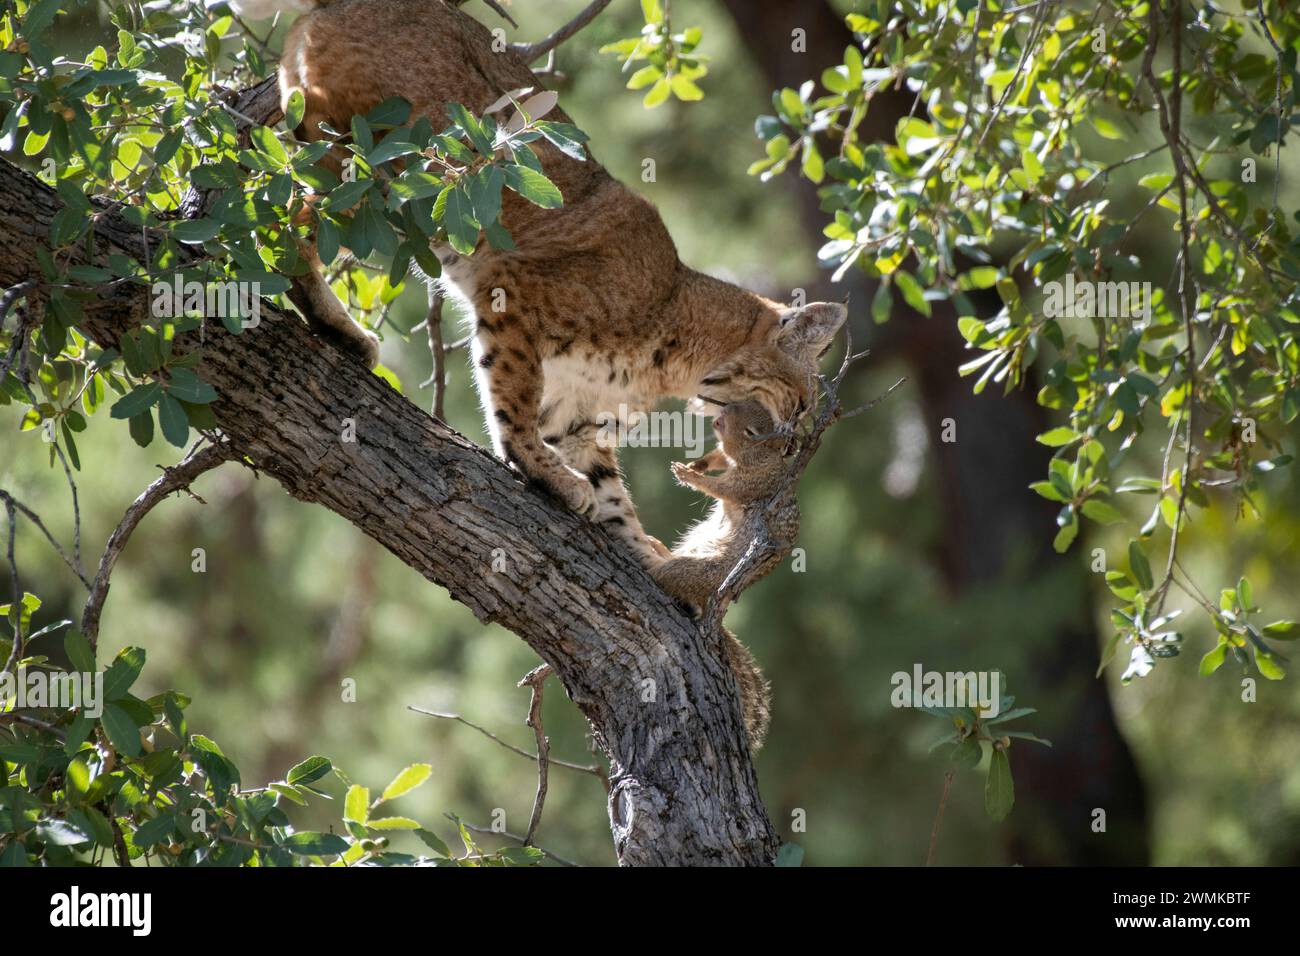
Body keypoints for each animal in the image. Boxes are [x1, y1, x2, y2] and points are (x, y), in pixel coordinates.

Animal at [652, 400, 798, 750]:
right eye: (743, 402)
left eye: (739, 416)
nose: (722, 407)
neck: (756, 453)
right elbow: (719, 456)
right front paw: (700, 463)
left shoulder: (752, 481)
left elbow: (724, 489)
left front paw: (690, 475)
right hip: (696, 540)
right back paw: (658, 547)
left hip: (699, 570)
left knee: (669, 576)